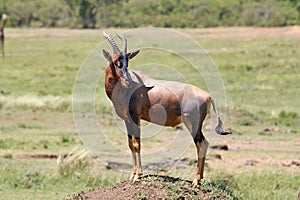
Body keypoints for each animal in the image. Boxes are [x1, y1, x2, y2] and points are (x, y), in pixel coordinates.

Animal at [102, 31, 231, 186]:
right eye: (115, 62)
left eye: (127, 62)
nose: (127, 81)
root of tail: (209, 96)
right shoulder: (127, 120)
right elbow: (130, 144)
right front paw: (132, 176)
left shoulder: (135, 117)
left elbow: (137, 143)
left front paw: (138, 176)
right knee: (204, 143)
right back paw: (199, 178)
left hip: (192, 123)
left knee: (202, 143)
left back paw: (196, 180)